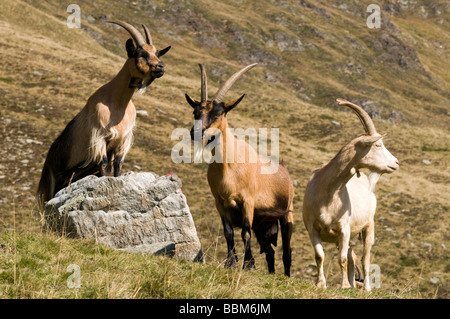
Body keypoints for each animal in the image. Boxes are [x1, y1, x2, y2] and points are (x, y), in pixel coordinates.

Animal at [36, 21, 171, 209]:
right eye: (140, 54)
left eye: (157, 53)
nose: (161, 67)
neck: (118, 103)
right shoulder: (100, 137)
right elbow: (105, 164)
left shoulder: (122, 140)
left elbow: (117, 165)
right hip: (52, 181)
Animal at [185, 63, 296, 276]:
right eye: (196, 113)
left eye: (218, 113)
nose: (196, 133)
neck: (229, 167)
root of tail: (285, 171)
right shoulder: (220, 203)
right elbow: (228, 232)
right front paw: (231, 262)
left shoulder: (247, 201)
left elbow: (244, 232)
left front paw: (249, 264)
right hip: (262, 223)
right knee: (269, 251)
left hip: (287, 214)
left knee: (286, 251)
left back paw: (286, 276)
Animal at [302, 98, 398, 292]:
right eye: (377, 145)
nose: (396, 163)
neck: (328, 192)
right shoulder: (312, 228)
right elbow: (319, 256)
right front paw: (321, 284)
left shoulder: (344, 229)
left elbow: (342, 259)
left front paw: (344, 285)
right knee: (353, 257)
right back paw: (354, 284)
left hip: (369, 227)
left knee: (364, 258)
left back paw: (366, 288)